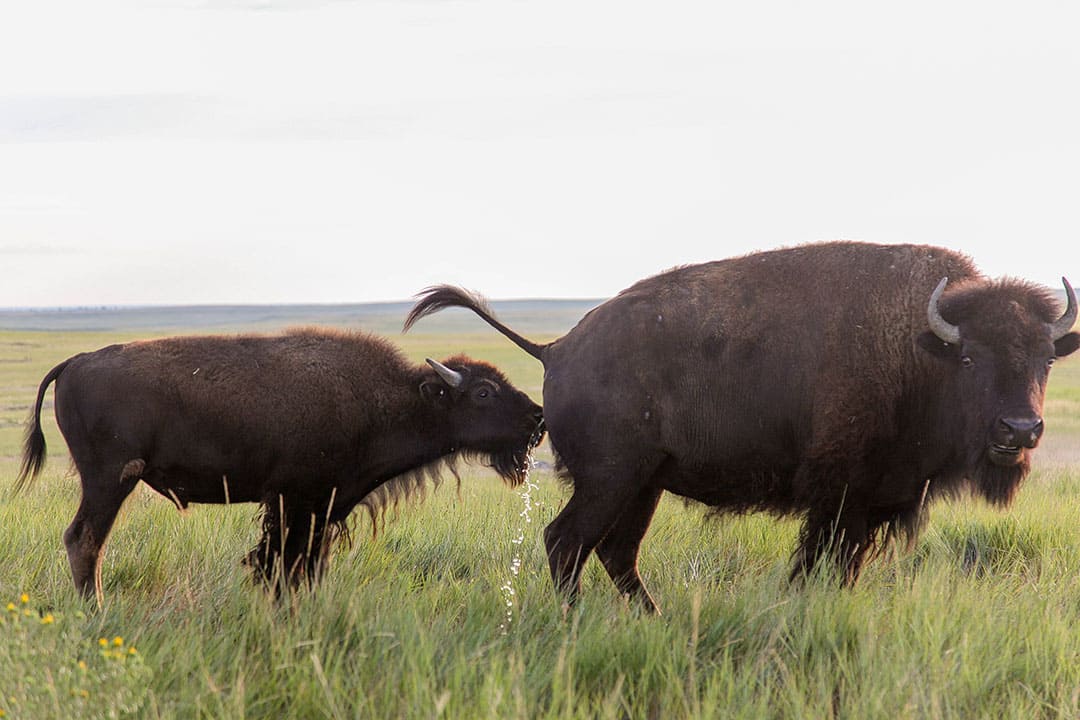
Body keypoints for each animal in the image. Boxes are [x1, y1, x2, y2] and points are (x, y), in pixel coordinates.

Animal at [13, 330, 544, 604]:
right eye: (483, 392)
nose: (538, 419)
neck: (390, 400)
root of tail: (75, 361)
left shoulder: (321, 509)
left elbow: (303, 566)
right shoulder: (297, 503)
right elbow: (285, 565)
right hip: (109, 480)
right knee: (84, 540)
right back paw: (96, 612)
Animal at [406, 241, 1080, 613]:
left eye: (1045, 360)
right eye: (971, 360)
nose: (1020, 430)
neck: (919, 351)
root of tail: (556, 348)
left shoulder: (863, 509)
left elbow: (841, 568)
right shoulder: (841, 502)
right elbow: (819, 565)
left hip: (644, 485)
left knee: (617, 553)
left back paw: (656, 619)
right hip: (611, 480)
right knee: (566, 541)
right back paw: (580, 622)